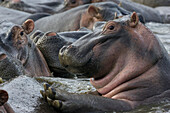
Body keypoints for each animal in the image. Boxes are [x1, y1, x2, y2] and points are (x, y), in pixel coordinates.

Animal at [40, 12, 170, 112]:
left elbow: (96, 101)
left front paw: (56, 94)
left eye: (111, 27)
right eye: (96, 24)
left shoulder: (132, 101)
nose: (65, 48)